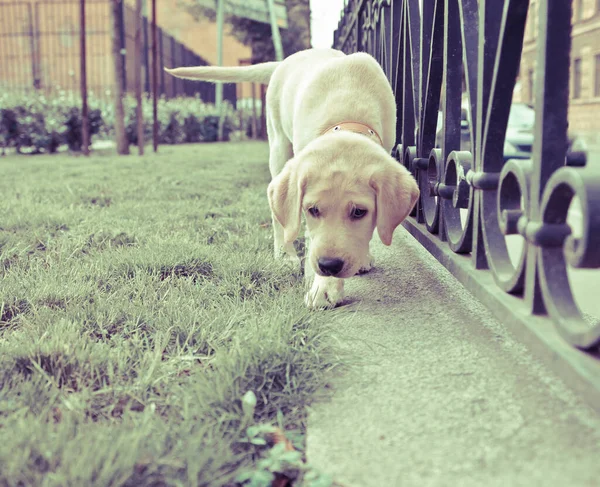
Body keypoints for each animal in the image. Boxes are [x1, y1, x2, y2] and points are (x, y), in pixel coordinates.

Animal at [164, 48, 418, 308]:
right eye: (312, 210)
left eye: (359, 212)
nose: (328, 266)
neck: (349, 112)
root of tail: (287, 60)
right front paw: (325, 288)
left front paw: (361, 257)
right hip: (278, 145)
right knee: (280, 216)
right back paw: (285, 255)